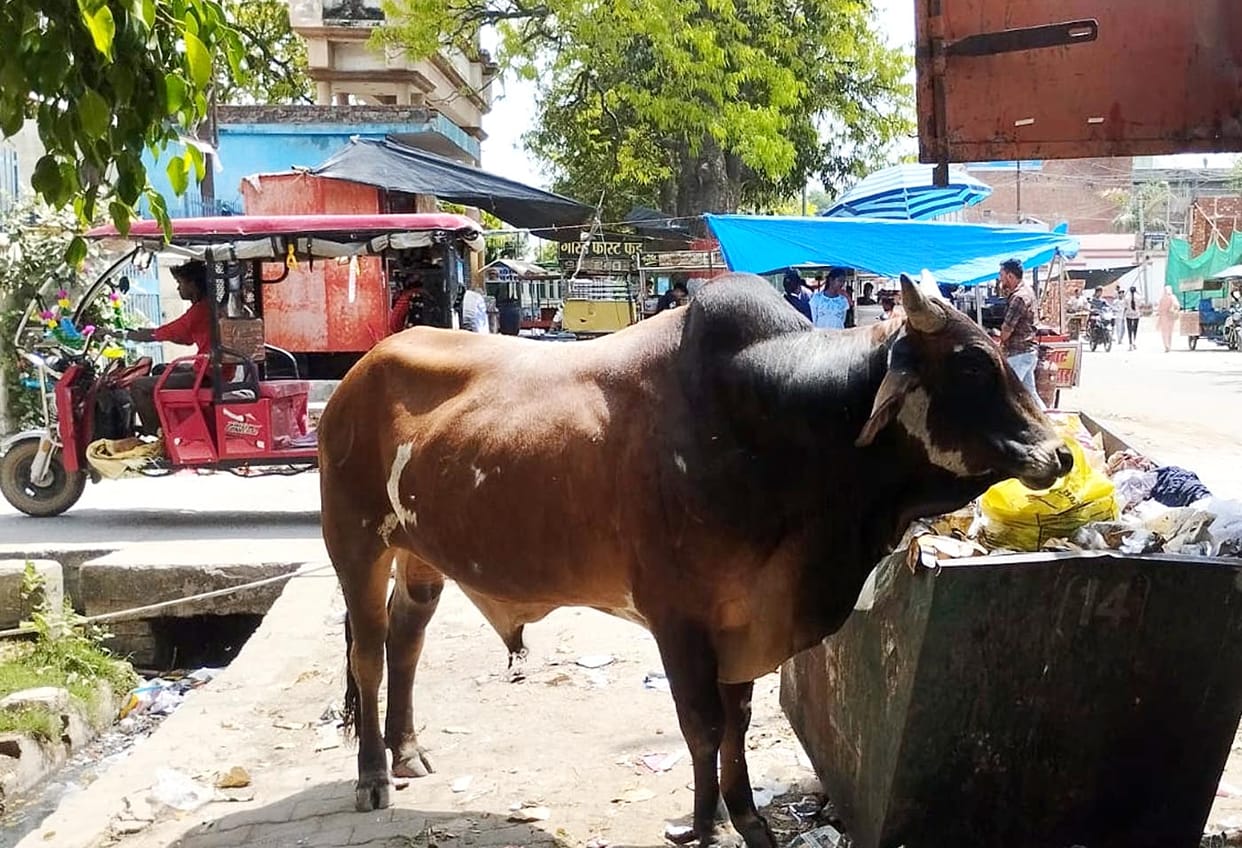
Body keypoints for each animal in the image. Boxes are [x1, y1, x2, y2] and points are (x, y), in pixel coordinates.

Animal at [317, 273, 1072, 848]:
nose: (1061, 454)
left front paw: (748, 820)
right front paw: (705, 826)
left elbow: (736, 723)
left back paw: (407, 752)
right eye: (972, 364)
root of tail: (360, 372)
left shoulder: (743, 620)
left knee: (406, 642)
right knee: (368, 653)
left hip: (421, 557)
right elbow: (703, 726)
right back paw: (372, 777)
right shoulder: (678, 618)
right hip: (353, 543)